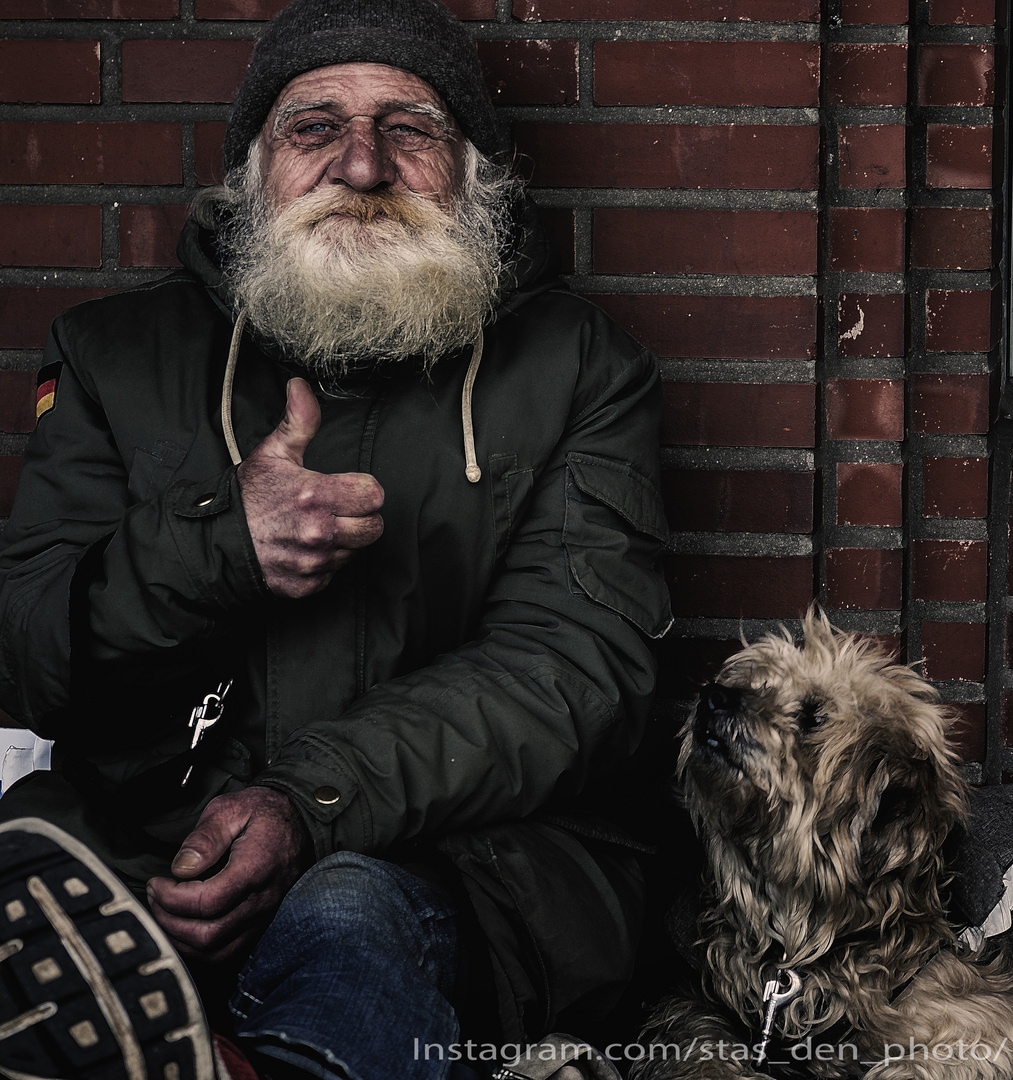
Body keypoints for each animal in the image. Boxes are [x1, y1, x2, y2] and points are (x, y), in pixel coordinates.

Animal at [635, 613, 1010, 1080]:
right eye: (754, 681)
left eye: (813, 715)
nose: (714, 695)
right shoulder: (691, 1004)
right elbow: (700, 1049)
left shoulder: (969, 1018)